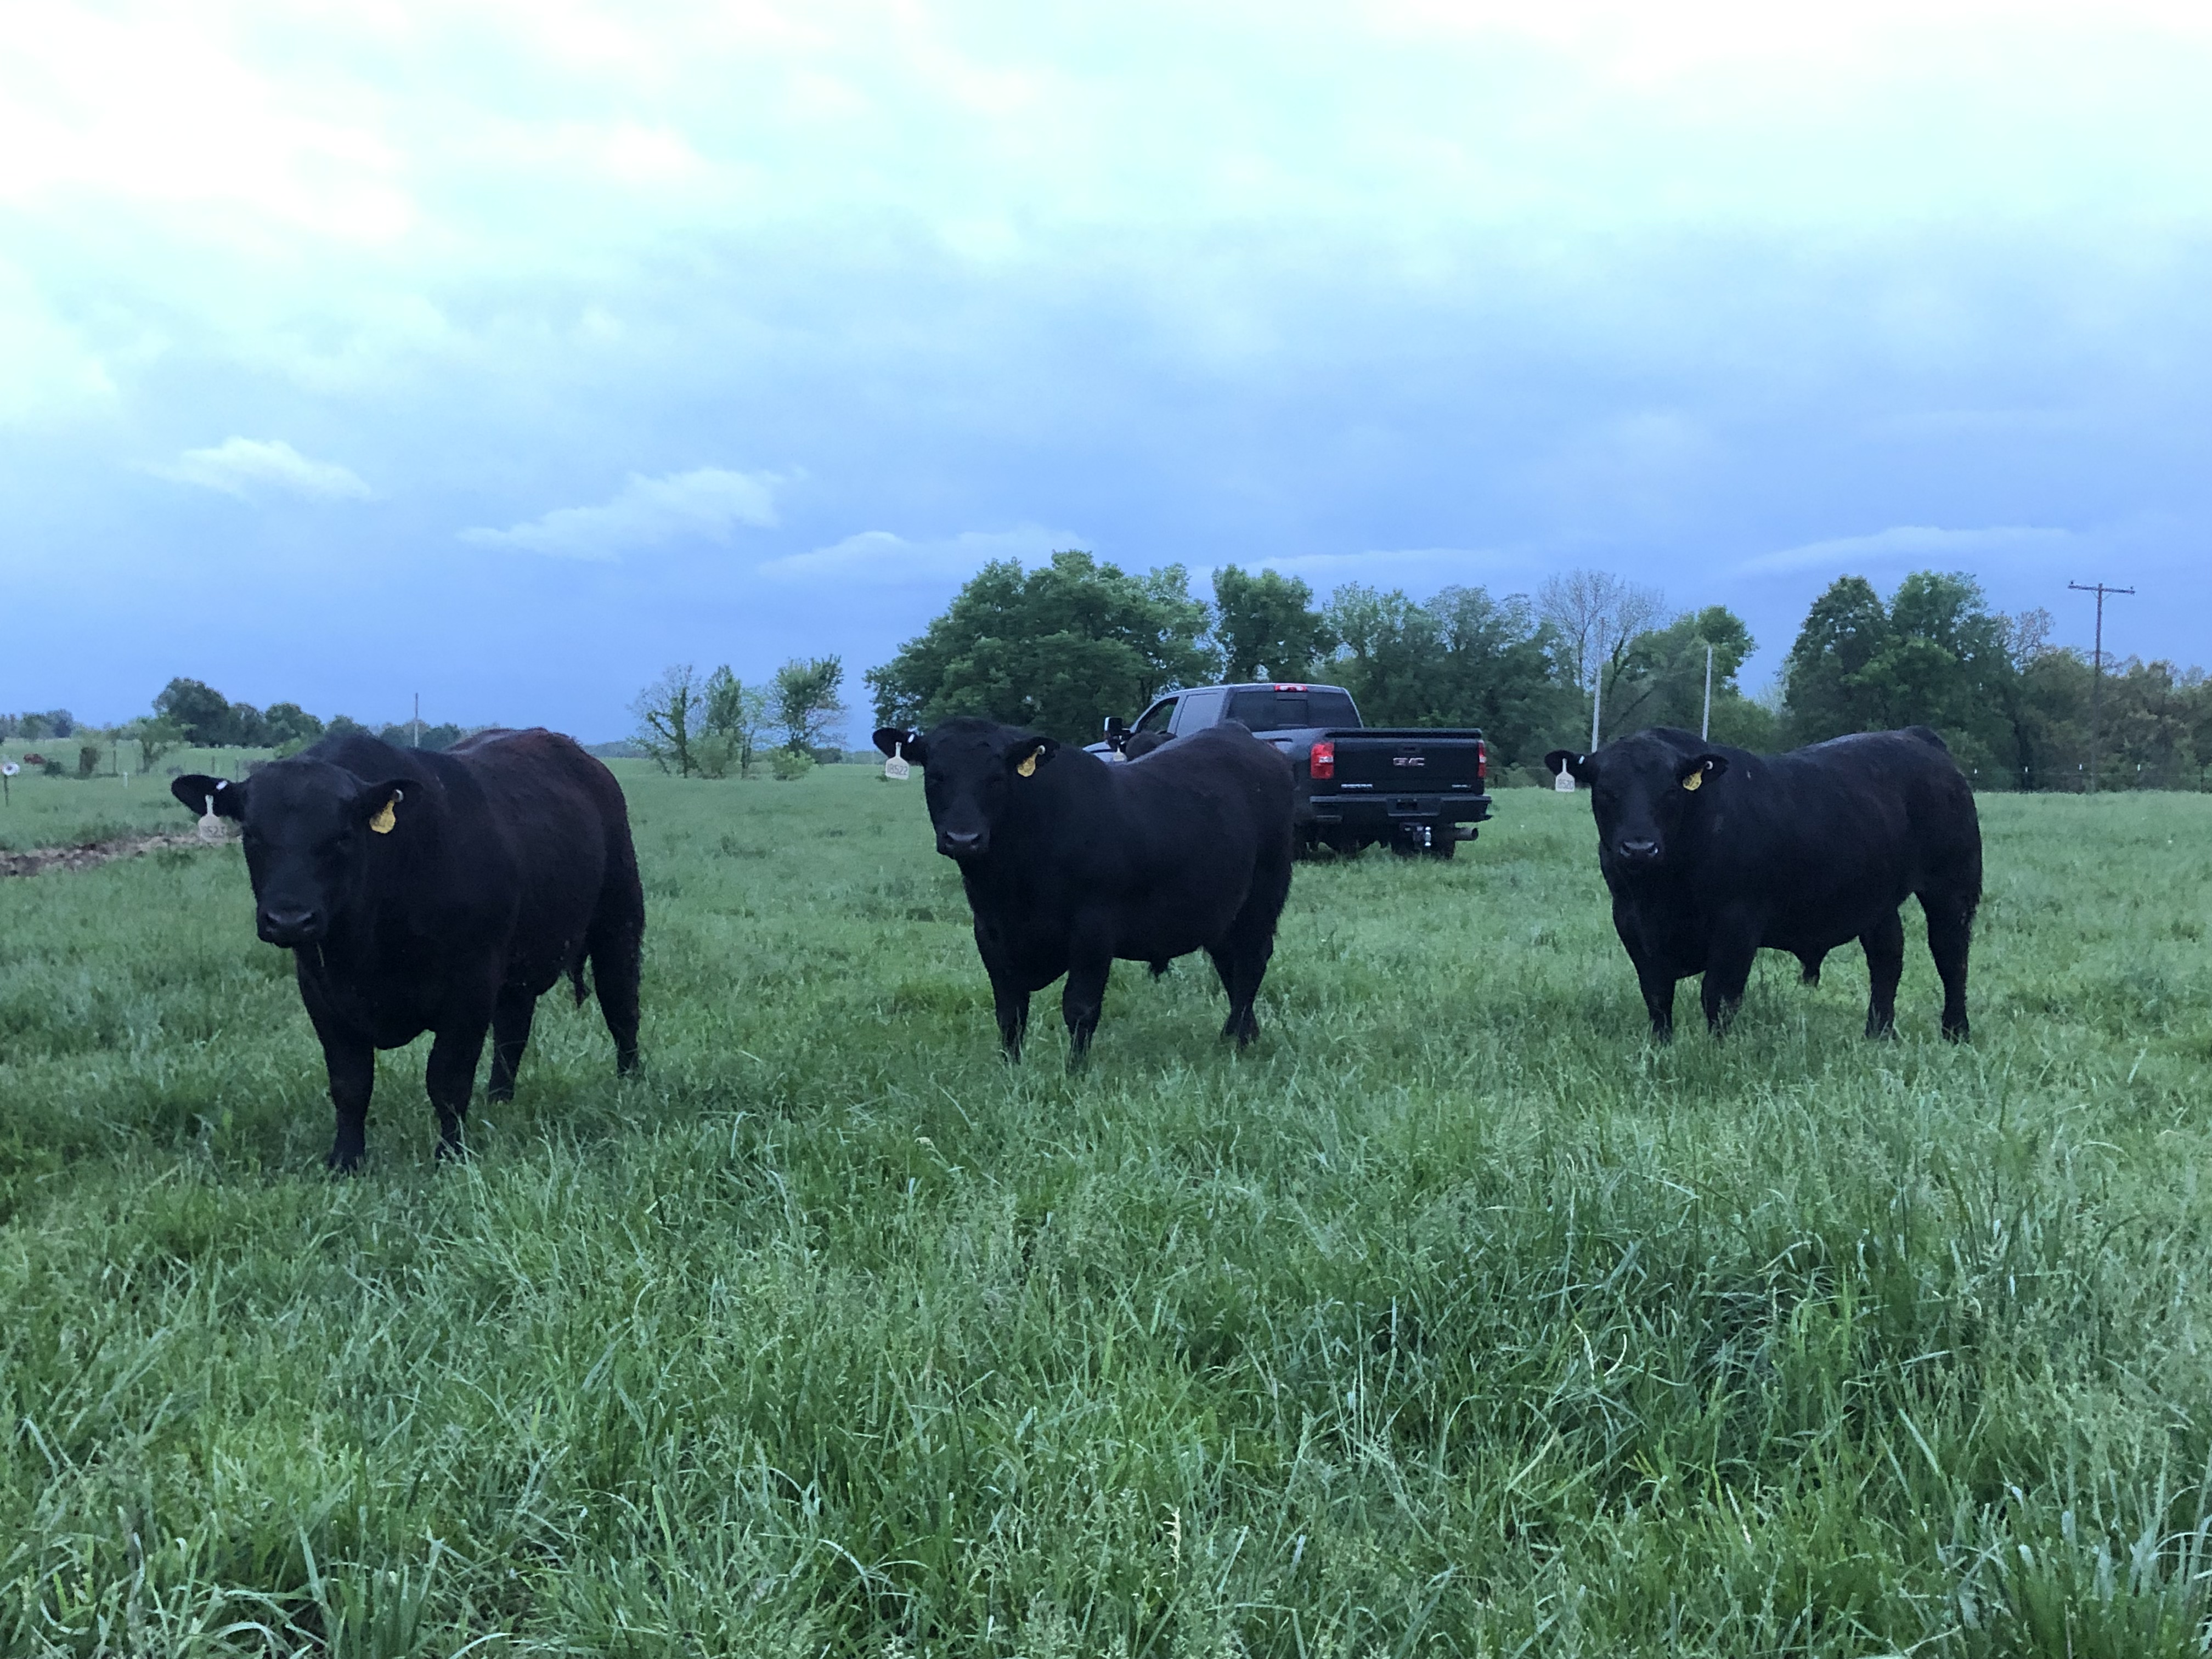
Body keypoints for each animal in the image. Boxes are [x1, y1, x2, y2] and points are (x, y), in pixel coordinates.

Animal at [172, 728, 643, 1169]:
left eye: (343, 836)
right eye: (251, 834)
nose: (289, 919)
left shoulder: (471, 987)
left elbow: (447, 1080)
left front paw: (450, 1156)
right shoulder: (320, 992)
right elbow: (350, 1083)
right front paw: (345, 1160)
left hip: (619, 922)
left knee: (621, 1007)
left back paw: (630, 1085)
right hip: (519, 966)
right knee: (513, 1031)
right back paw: (499, 1100)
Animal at [873, 716, 1295, 1061]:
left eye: (996, 779)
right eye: (935, 776)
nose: (963, 839)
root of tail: (1239, 733)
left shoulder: (1094, 929)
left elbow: (1080, 1007)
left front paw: (1075, 1073)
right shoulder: (989, 931)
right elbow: (1010, 1010)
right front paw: (1011, 1070)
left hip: (1265, 895)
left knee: (1252, 962)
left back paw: (1236, 1040)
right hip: (1223, 909)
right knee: (1229, 963)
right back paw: (1241, 1035)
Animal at [1544, 725, 1981, 1042]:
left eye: (1670, 791)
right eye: (1605, 791)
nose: (1639, 848)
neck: (1663, 891)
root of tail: (1916, 737)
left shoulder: (1738, 922)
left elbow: (1718, 995)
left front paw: (1715, 1052)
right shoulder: (1630, 921)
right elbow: (1656, 993)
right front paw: (1659, 1046)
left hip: (1953, 886)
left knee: (1951, 957)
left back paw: (1955, 1032)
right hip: (1877, 900)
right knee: (1887, 959)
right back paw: (1878, 1034)